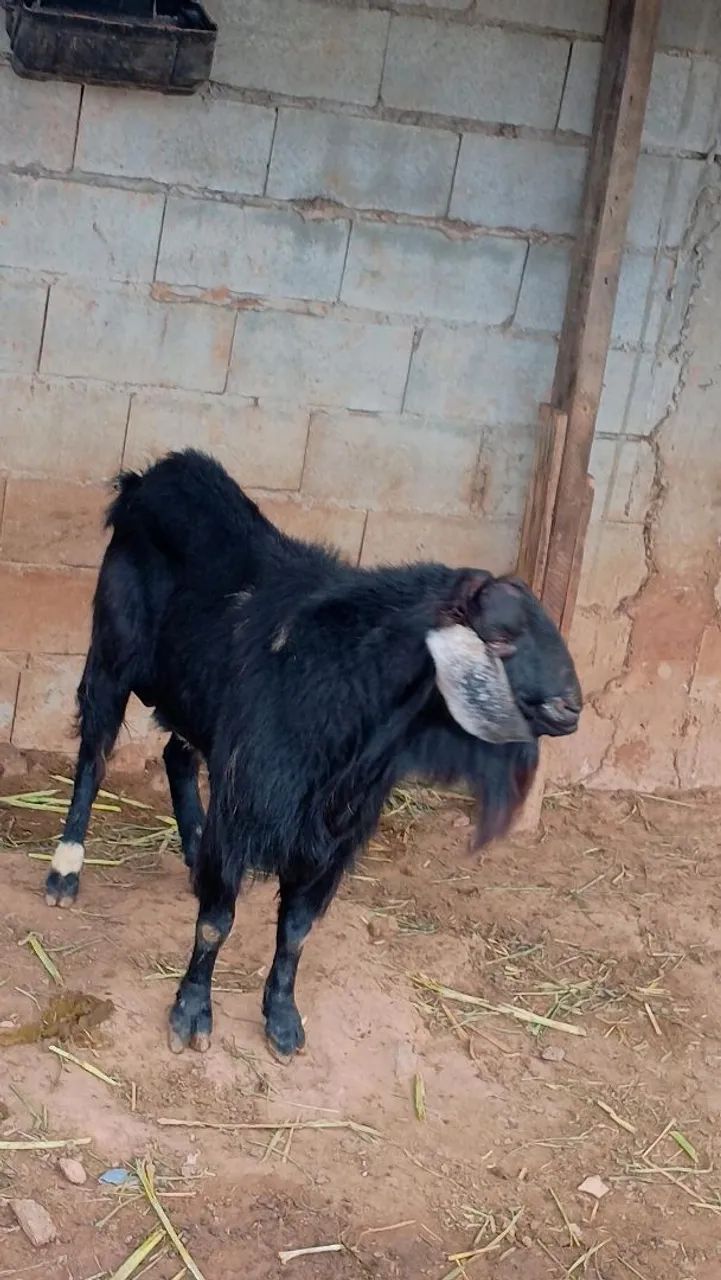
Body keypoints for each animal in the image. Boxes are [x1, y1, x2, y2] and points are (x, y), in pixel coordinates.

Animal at [45, 450, 581, 1060]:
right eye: (500, 639)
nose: (571, 706)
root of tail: (150, 478)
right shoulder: (247, 802)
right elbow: (216, 921)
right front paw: (191, 1013)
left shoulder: (335, 832)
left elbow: (297, 930)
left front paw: (282, 1020)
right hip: (113, 655)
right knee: (94, 756)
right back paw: (65, 870)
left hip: (195, 698)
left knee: (176, 756)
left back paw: (191, 850)